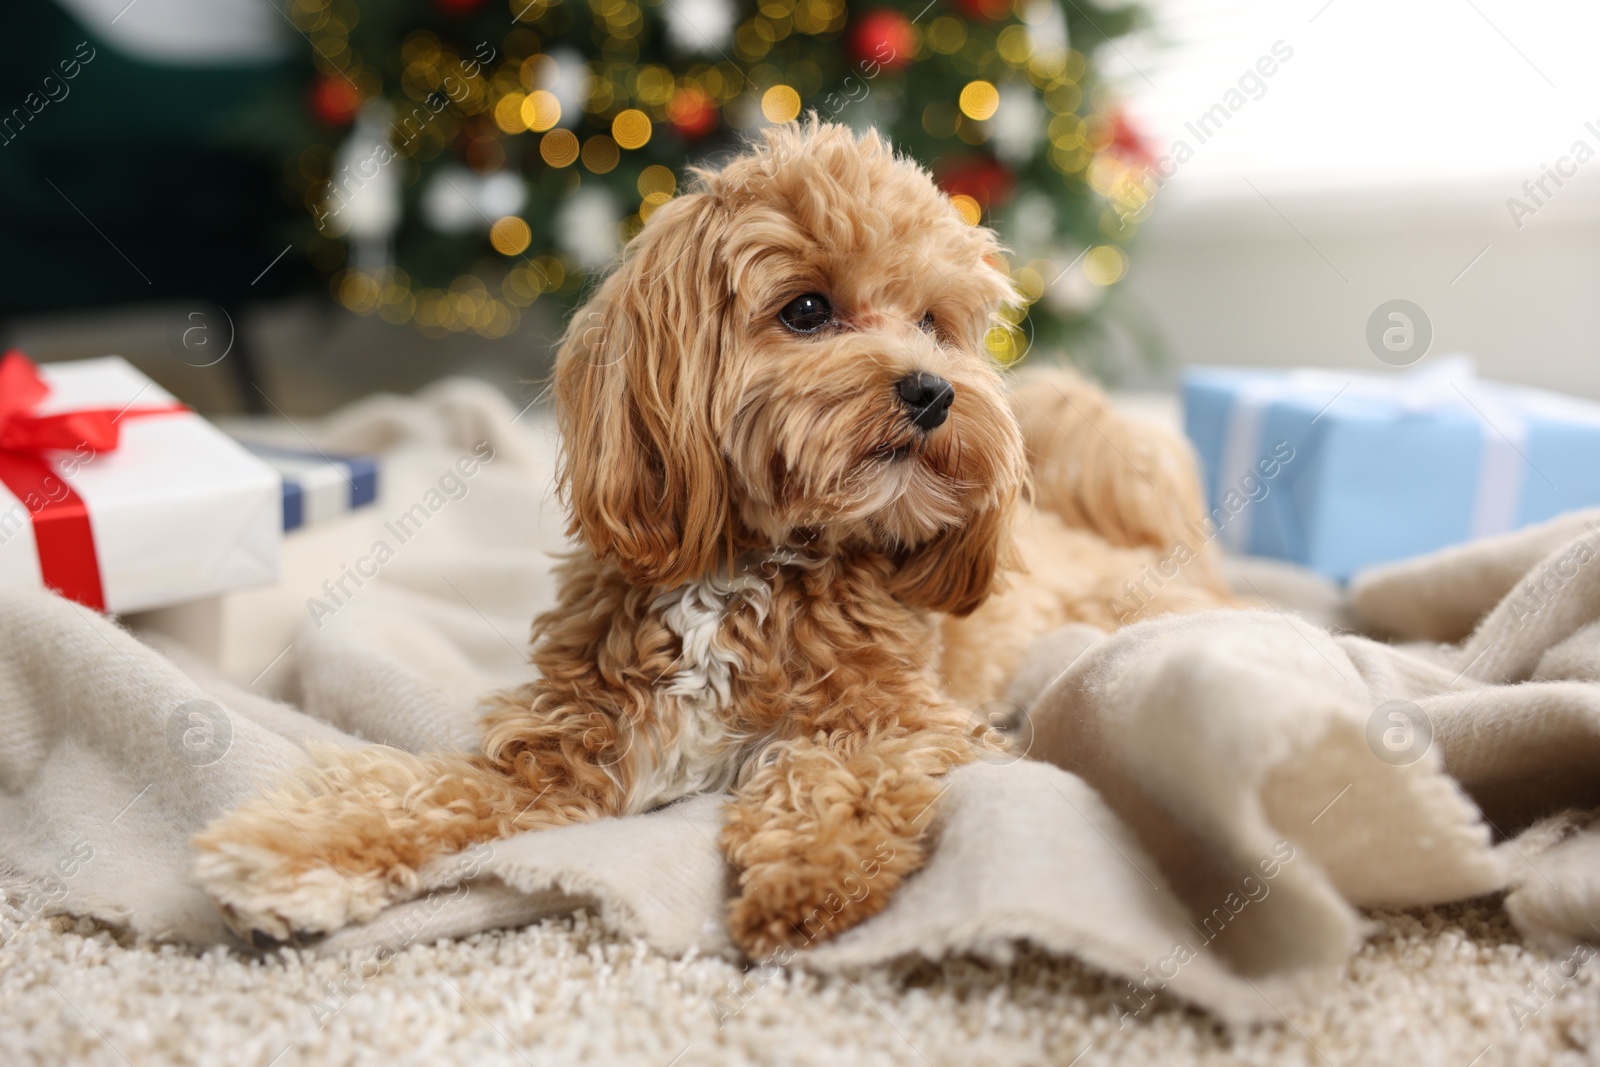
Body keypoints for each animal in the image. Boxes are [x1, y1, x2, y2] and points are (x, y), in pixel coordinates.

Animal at [193, 120, 1228, 953]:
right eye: (806, 309)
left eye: (936, 323)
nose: (934, 391)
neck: (750, 566)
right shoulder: (576, 746)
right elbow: (424, 790)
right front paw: (290, 855)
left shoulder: (915, 721)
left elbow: (844, 767)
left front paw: (811, 870)